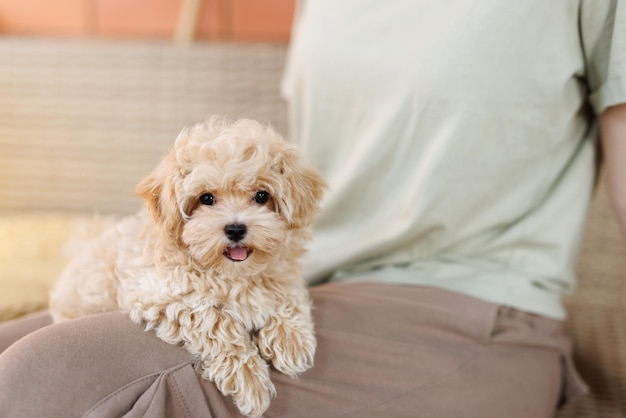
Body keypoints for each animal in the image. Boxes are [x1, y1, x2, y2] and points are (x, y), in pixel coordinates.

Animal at [50, 117, 324, 418]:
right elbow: (213, 318)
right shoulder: (157, 293)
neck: (234, 274)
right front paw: (248, 376)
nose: (235, 229)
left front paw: (291, 341)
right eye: (206, 199)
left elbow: (289, 293)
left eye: (262, 196)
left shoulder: (284, 271)